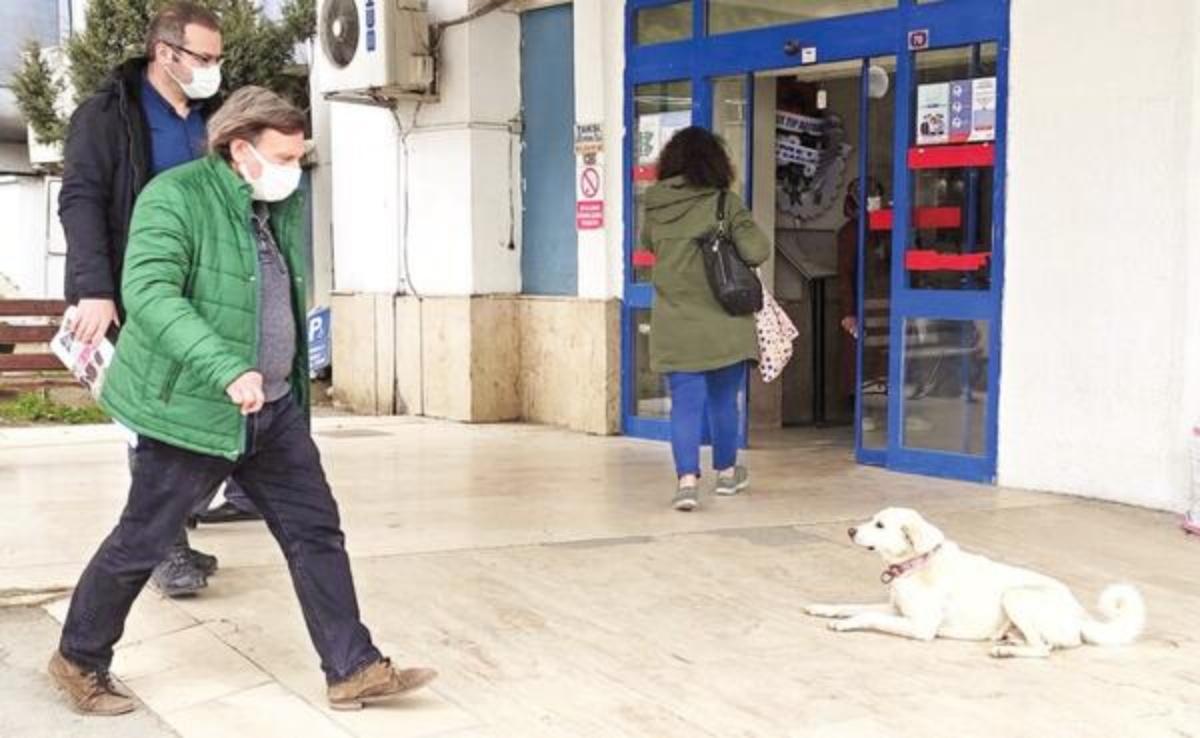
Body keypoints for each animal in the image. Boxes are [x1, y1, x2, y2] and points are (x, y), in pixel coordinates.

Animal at [806, 508, 1142, 657]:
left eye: (879, 525)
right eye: (872, 519)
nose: (850, 530)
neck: (917, 565)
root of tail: (1079, 616)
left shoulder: (919, 626)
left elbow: (868, 615)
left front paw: (846, 624)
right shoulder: (898, 611)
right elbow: (852, 605)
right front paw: (824, 609)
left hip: (1015, 596)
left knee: (1043, 648)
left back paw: (1007, 651)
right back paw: (1010, 640)